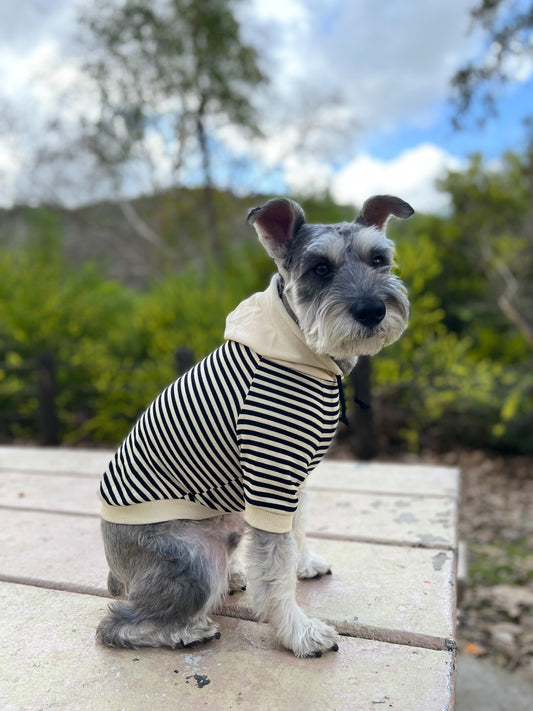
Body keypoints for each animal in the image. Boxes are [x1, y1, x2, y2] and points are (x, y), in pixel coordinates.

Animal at [94, 193, 412, 656]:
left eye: (379, 259)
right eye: (320, 268)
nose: (372, 310)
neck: (303, 346)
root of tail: (115, 570)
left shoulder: (294, 481)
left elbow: (295, 532)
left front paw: (306, 564)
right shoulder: (272, 478)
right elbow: (275, 572)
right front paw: (300, 632)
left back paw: (231, 579)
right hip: (193, 558)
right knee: (117, 625)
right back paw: (187, 630)